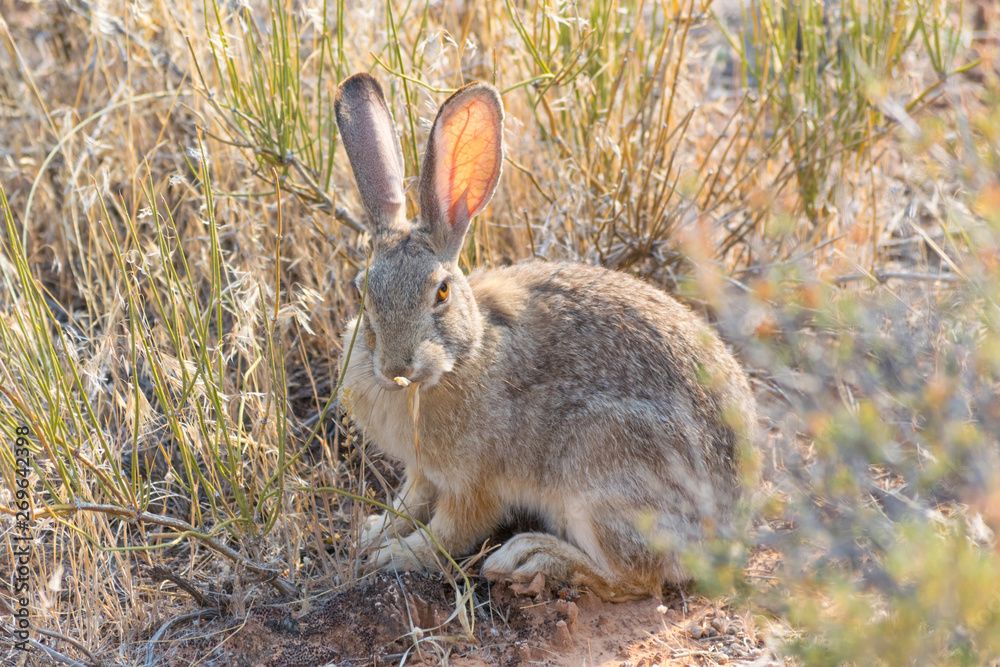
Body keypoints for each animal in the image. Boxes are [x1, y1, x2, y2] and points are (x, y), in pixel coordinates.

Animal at [333, 72, 757, 602]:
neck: (466, 354)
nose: (397, 368)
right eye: (360, 291)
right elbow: (408, 502)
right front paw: (373, 532)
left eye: (442, 292)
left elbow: (448, 533)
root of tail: (729, 534)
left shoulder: (476, 484)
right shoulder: (421, 473)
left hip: (599, 472)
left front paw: (396, 557)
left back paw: (531, 557)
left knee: (634, 578)